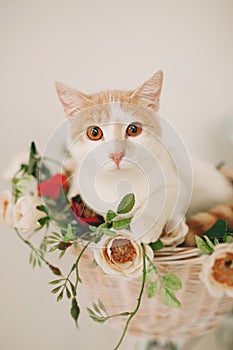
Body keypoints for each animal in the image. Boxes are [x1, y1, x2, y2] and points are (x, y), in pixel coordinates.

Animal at [55, 70, 233, 246]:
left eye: (133, 129)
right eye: (94, 133)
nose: (116, 154)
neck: (120, 181)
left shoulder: (176, 181)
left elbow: (165, 194)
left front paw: (145, 224)